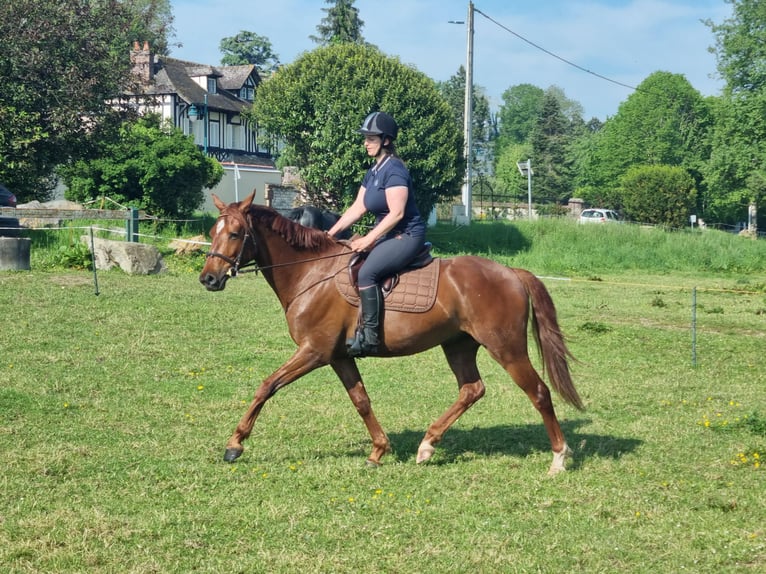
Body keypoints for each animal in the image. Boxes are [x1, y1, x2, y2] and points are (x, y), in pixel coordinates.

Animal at [201, 192, 584, 476]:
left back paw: (558, 458)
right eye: (213, 232)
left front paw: (235, 444)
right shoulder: (338, 356)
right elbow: (361, 400)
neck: (313, 272)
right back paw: (428, 444)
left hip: (506, 348)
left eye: (235, 233)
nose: (208, 278)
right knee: (472, 389)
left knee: (538, 392)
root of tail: (512, 272)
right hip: (458, 346)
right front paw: (378, 450)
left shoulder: (314, 352)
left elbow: (267, 386)